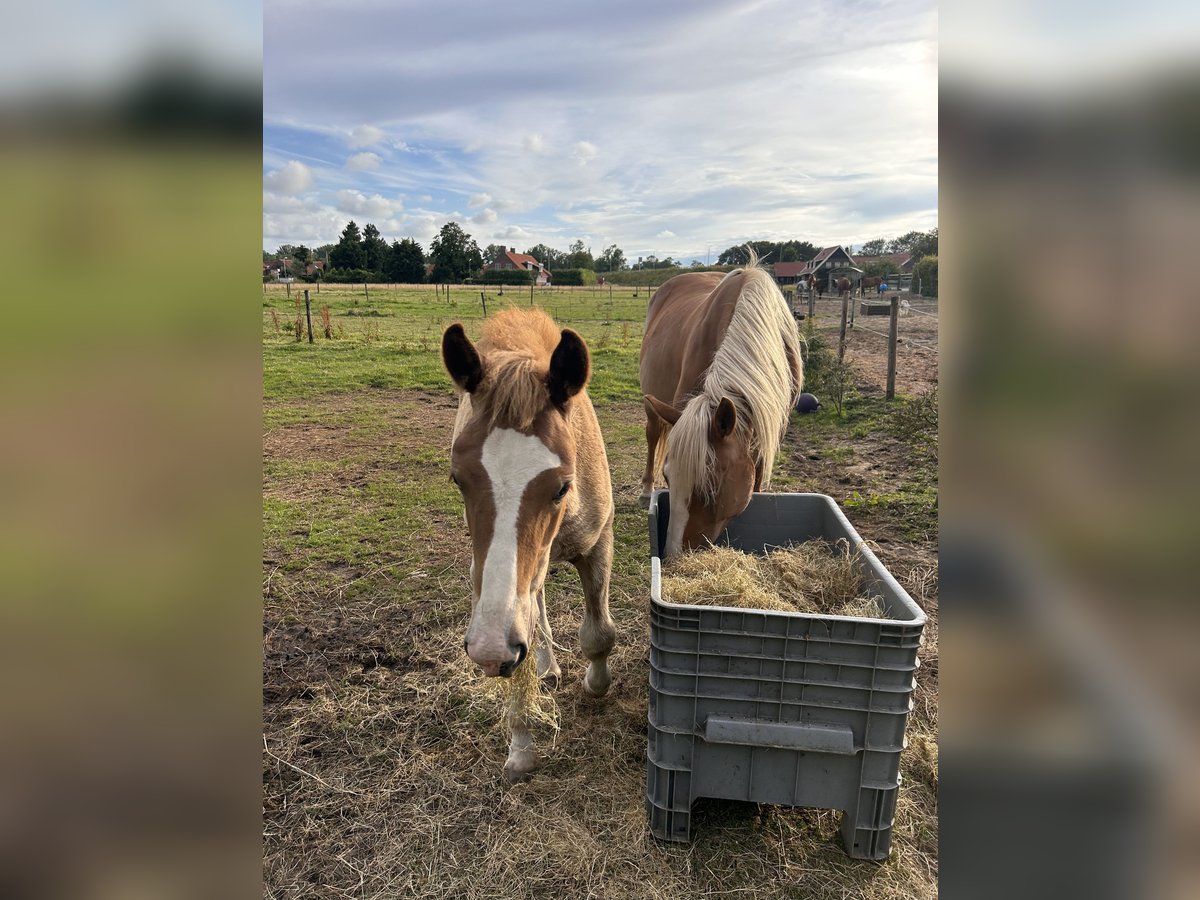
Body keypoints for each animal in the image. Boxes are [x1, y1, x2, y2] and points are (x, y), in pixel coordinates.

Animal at [441, 309, 619, 782]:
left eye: (562, 486)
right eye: (457, 480)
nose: (489, 651)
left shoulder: (599, 543)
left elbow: (599, 634)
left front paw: (595, 684)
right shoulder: (485, 580)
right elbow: (515, 654)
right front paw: (521, 748)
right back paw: (546, 662)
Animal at [638, 254, 806, 556]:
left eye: (711, 488)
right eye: (667, 478)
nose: (674, 555)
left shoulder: (767, 431)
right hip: (653, 404)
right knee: (653, 435)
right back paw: (646, 490)